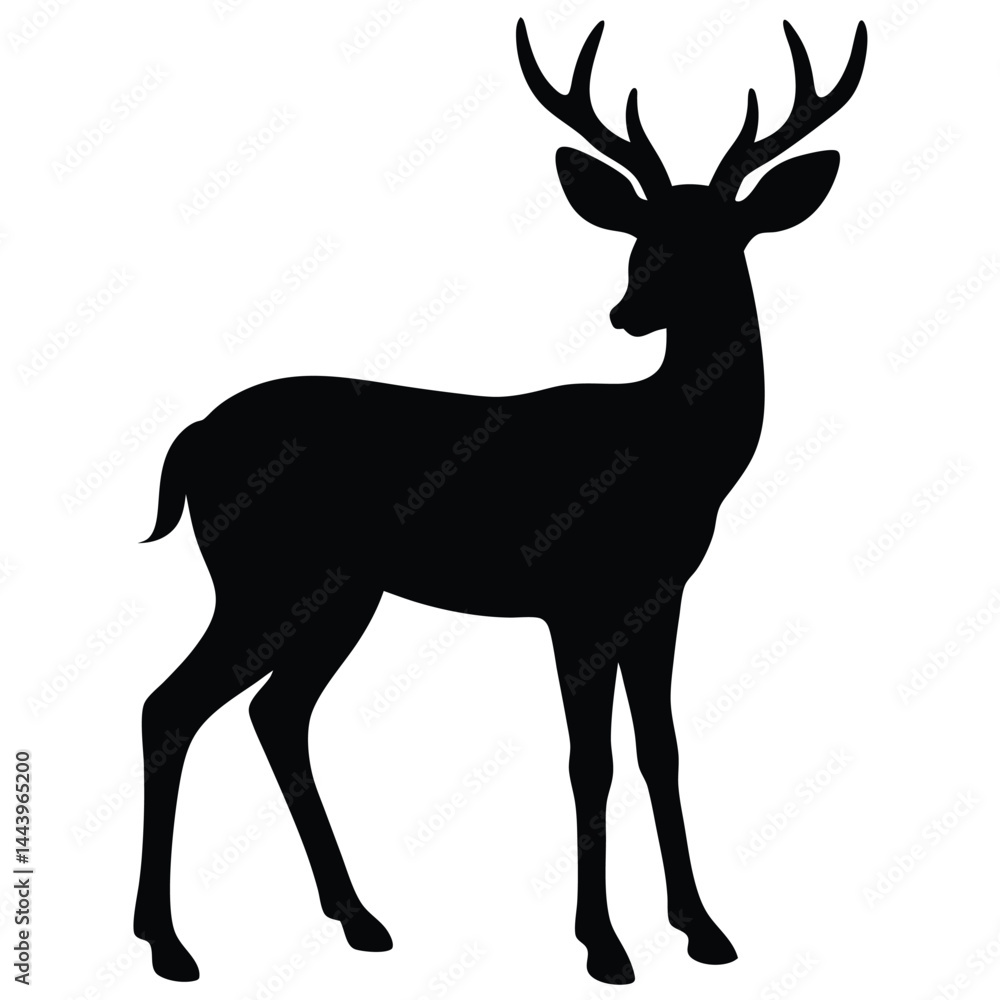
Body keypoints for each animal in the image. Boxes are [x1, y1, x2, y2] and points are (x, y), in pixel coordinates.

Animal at [133, 16, 866, 985]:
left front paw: (703, 930)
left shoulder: (659, 597)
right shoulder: (576, 598)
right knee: (172, 705)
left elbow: (660, 750)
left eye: (720, 238)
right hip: (263, 576)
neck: (675, 454)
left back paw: (357, 918)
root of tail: (191, 440)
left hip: (338, 593)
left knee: (274, 714)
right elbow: (589, 760)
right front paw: (604, 946)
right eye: (640, 235)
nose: (628, 312)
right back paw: (169, 943)